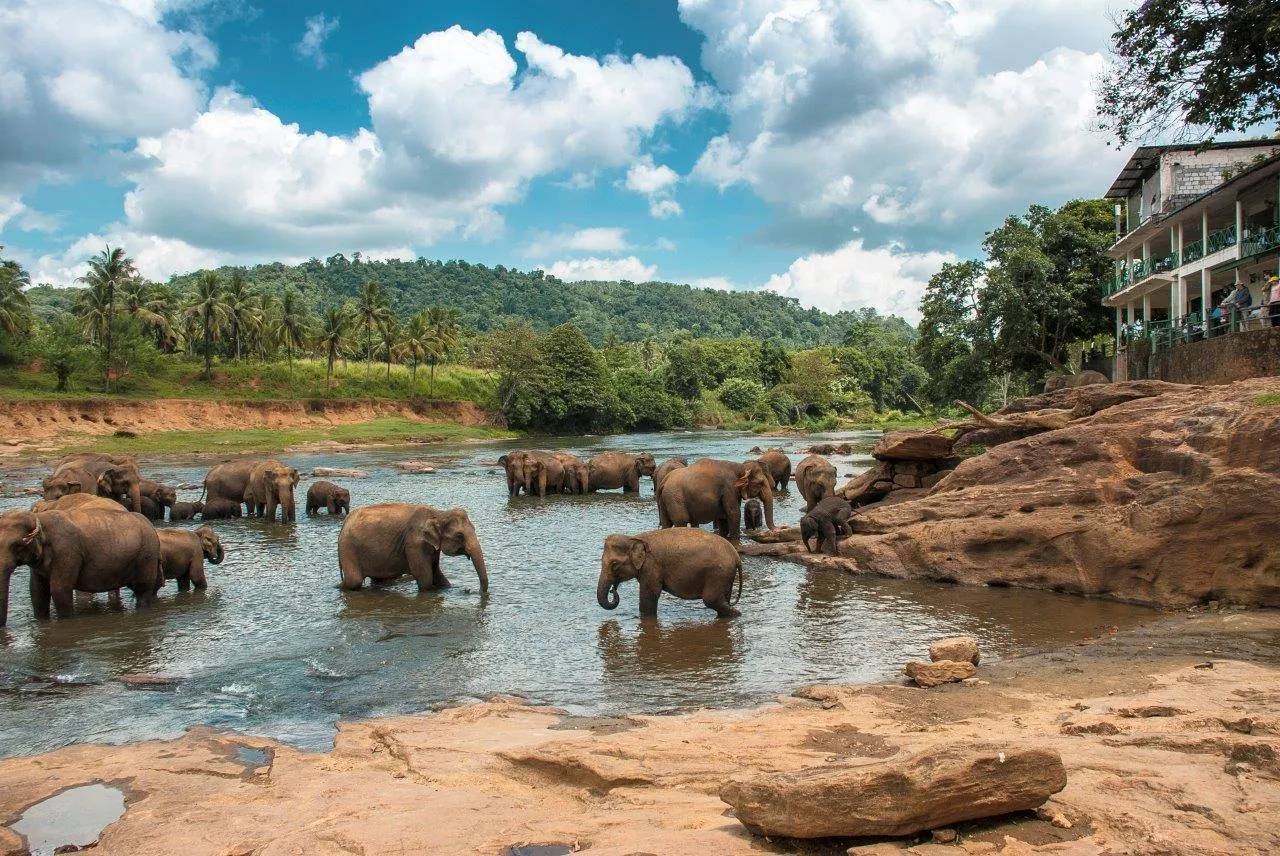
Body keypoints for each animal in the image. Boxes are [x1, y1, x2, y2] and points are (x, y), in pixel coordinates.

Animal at [0, 504, 163, 624]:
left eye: (17, 545)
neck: (40, 519)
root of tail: (150, 526)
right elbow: (37, 591)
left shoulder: (67, 552)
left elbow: (59, 589)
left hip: (146, 555)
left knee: (143, 590)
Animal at [340, 501, 488, 593]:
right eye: (459, 535)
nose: (469, 590)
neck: (438, 513)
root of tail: (345, 522)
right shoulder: (415, 544)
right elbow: (425, 579)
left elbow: (437, 574)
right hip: (348, 548)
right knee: (354, 581)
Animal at [596, 524, 747, 616]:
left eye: (614, 564)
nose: (613, 590)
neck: (635, 538)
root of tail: (736, 556)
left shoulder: (652, 566)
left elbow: (650, 595)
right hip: (725, 576)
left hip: (718, 574)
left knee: (711, 600)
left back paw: (737, 614)